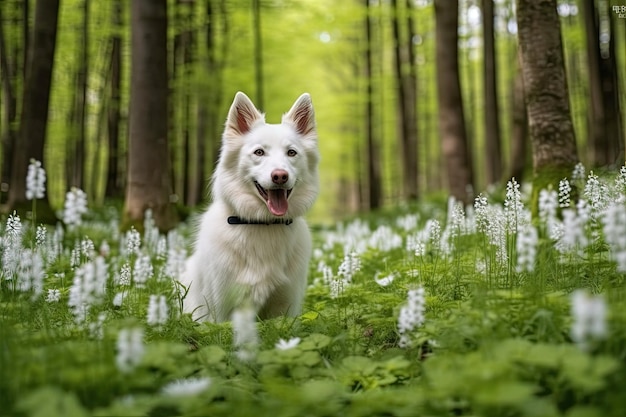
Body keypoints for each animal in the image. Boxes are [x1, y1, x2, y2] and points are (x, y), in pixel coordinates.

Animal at [179, 92, 316, 322]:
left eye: (291, 153)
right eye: (259, 152)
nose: (280, 176)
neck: (264, 223)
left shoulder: (285, 307)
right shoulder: (223, 308)